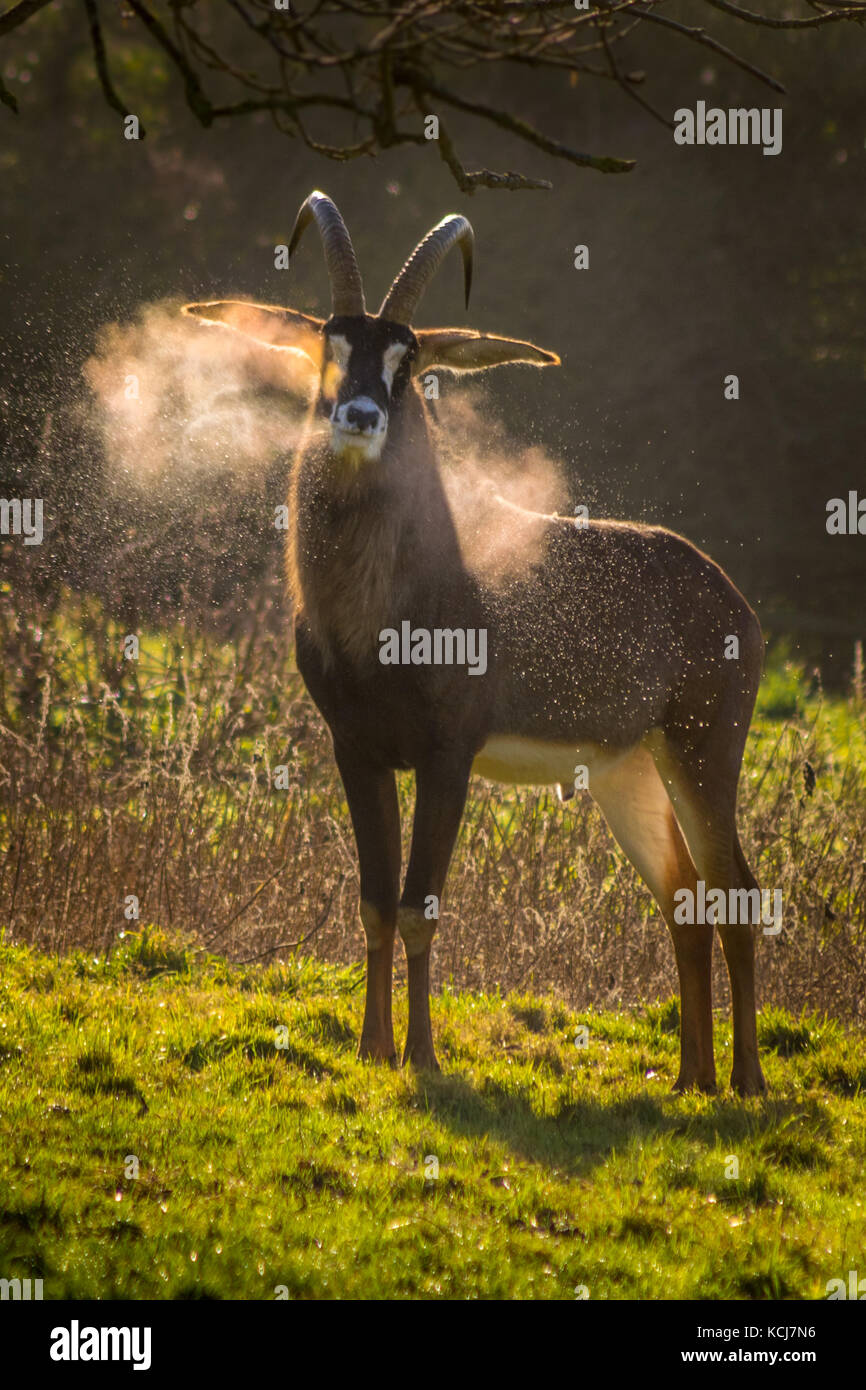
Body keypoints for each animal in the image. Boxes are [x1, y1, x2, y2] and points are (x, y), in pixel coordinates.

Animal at [186, 190, 767, 1095]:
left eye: (409, 358)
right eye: (330, 345)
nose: (359, 416)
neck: (380, 615)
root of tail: (732, 599)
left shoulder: (447, 755)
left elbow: (420, 908)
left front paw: (422, 1056)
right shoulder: (356, 751)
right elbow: (375, 903)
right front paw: (372, 1049)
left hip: (704, 750)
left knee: (734, 892)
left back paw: (745, 1084)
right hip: (628, 769)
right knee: (684, 899)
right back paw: (688, 1082)